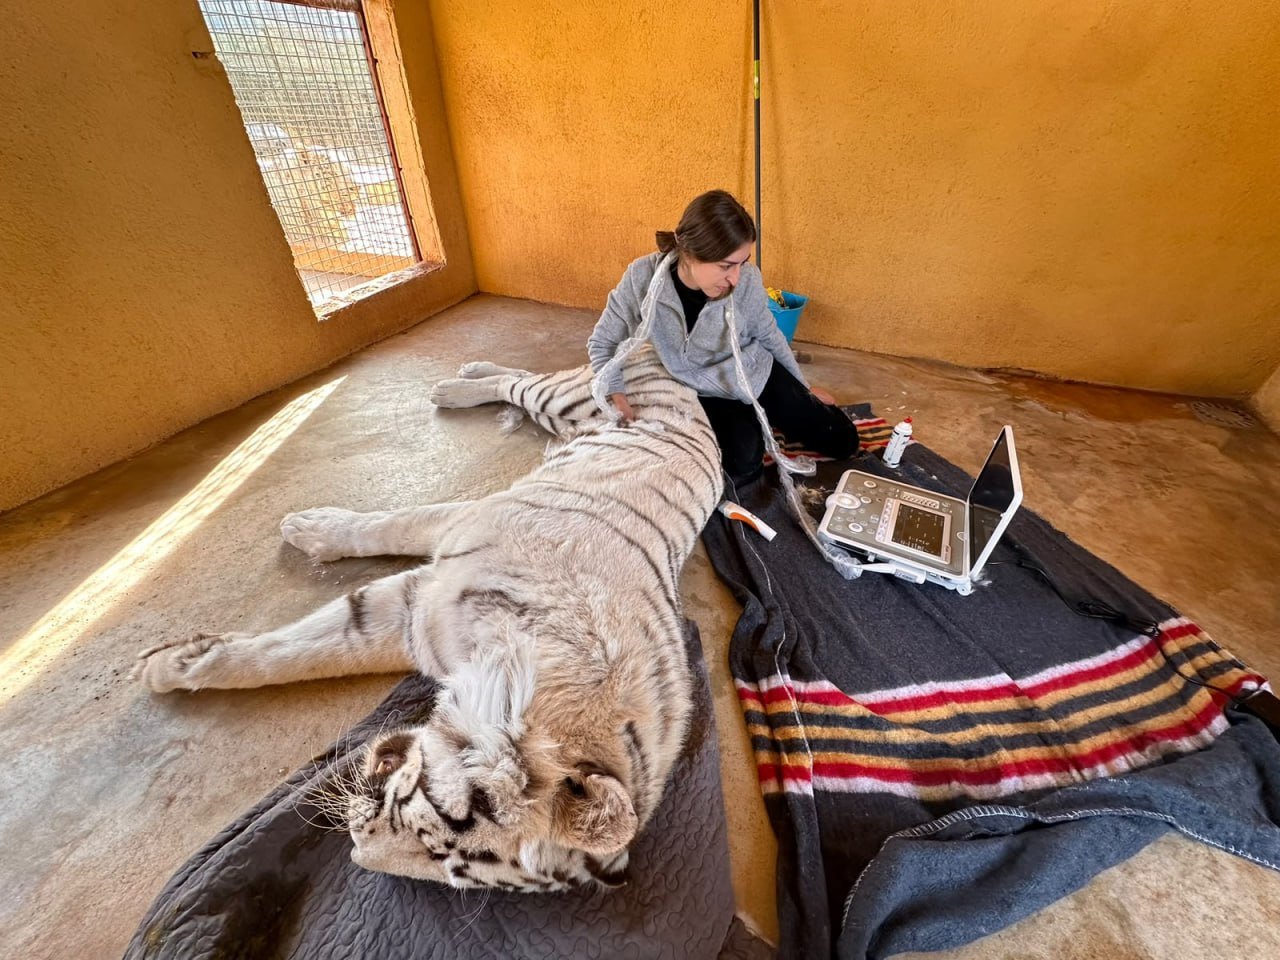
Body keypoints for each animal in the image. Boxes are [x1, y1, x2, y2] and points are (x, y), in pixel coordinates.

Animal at [132, 344, 725, 893]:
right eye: (434, 827)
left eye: (447, 865)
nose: (356, 850)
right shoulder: (437, 572)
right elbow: (320, 617)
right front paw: (169, 665)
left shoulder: (416, 622)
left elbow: (317, 647)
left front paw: (173, 664)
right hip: (567, 398)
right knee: (519, 380)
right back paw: (458, 383)